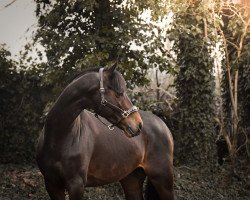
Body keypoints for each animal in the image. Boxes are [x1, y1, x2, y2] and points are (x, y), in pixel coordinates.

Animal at [36, 65, 174, 198]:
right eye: (119, 93)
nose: (138, 125)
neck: (60, 138)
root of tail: (162, 124)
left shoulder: (76, 184)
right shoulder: (52, 184)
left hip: (162, 179)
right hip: (131, 179)